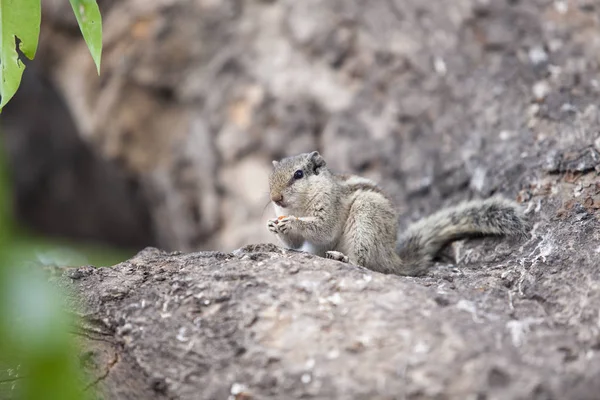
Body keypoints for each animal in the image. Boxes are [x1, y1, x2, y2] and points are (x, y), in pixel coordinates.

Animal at [264, 150, 528, 276]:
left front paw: (291, 223)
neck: (300, 206)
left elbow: (323, 229)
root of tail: (392, 258)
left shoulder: (331, 205)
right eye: (270, 178)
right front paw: (274, 226)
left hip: (366, 219)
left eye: (298, 174)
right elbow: (295, 243)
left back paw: (343, 258)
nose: (275, 198)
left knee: (365, 264)